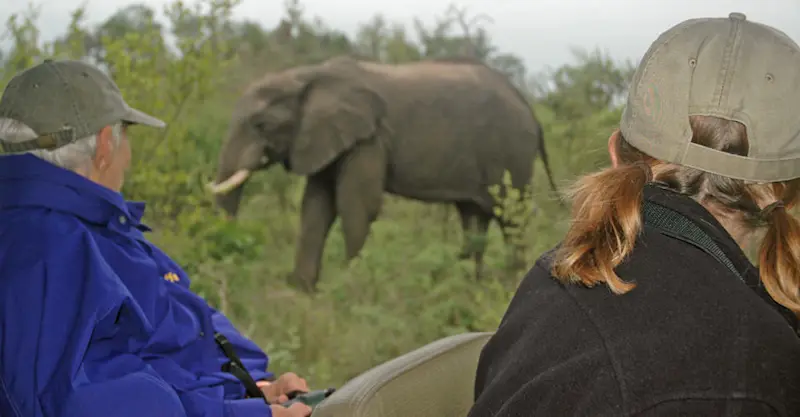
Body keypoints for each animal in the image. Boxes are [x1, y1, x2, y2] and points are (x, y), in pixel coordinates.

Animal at [207, 55, 559, 293]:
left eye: (261, 125)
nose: (226, 271)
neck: (308, 75)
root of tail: (531, 110)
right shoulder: (324, 138)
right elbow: (315, 207)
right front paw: (302, 291)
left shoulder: (369, 138)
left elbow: (356, 206)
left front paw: (350, 287)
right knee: (474, 218)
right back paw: (473, 287)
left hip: (511, 152)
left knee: (512, 218)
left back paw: (509, 284)